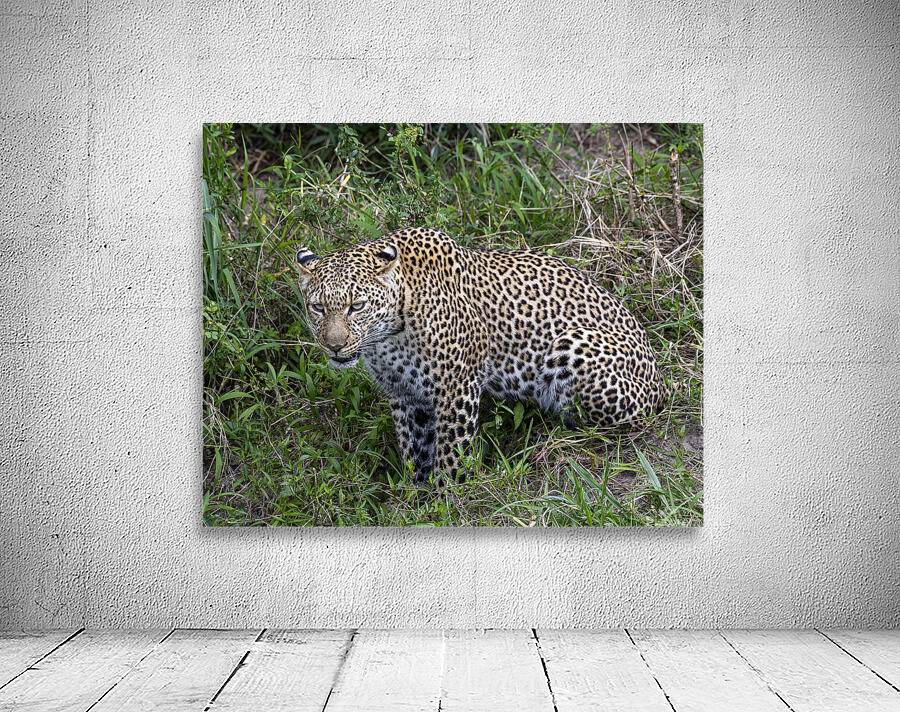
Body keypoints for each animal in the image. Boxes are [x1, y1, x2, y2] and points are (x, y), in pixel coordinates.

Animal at [295, 227, 667, 484]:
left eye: (356, 306)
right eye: (318, 308)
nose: (334, 345)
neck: (388, 336)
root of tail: (663, 383)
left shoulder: (457, 385)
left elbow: (450, 450)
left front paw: (448, 496)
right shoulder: (404, 394)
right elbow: (414, 448)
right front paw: (414, 496)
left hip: (573, 345)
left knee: (612, 424)